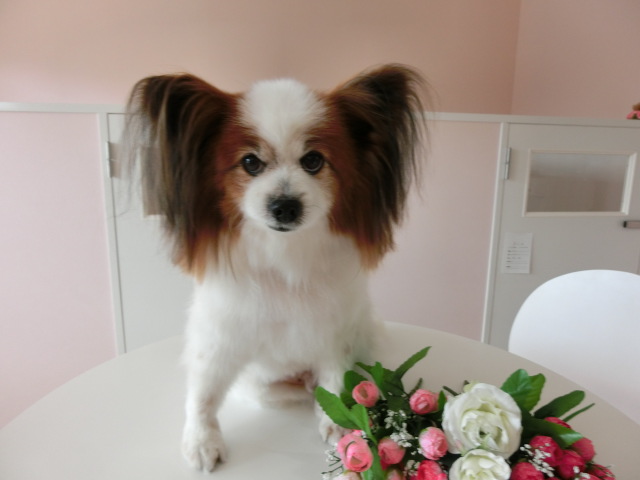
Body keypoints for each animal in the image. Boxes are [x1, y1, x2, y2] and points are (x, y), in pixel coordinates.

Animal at [122, 64, 427, 472]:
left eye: (313, 160)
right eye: (250, 162)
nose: (284, 206)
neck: (284, 255)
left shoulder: (335, 331)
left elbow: (335, 378)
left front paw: (338, 422)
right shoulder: (220, 336)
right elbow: (203, 391)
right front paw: (202, 441)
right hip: (261, 384)